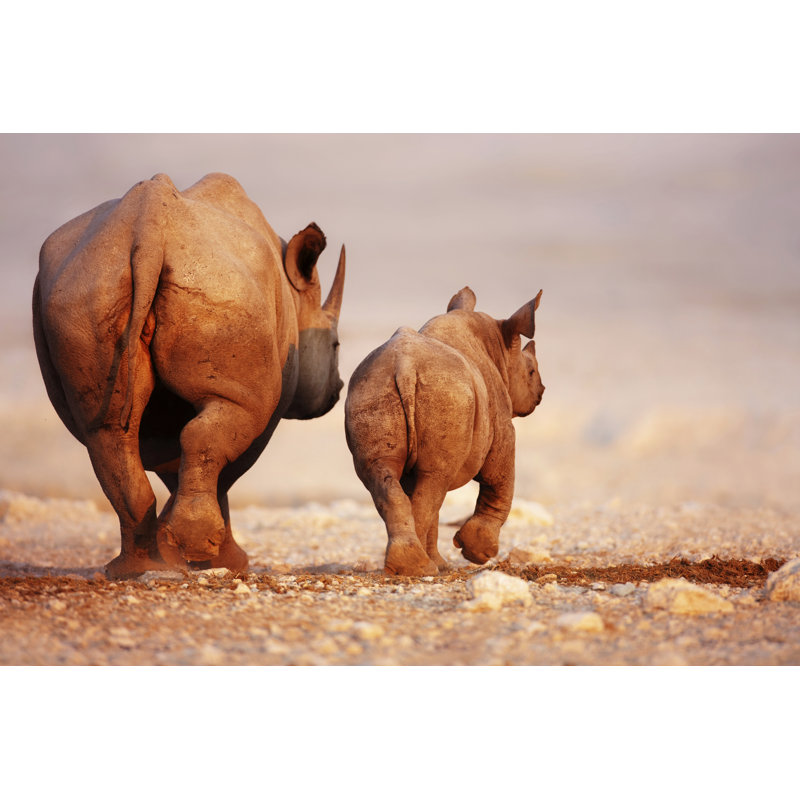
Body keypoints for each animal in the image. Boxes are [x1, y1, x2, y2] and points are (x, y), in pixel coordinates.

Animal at [33, 172, 345, 578]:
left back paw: (133, 568)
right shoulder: (267, 400)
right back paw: (191, 555)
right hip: (219, 286)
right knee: (214, 427)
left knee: (106, 433)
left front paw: (176, 549)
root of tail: (148, 230)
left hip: (84, 287)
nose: (337, 390)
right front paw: (221, 560)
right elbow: (227, 469)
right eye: (335, 345)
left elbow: (174, 463)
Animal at [345, 286, 543, 576]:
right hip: (446, 394)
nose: (541, 391)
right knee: (433, 482)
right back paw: (420, 568)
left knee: (389, 476)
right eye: (531, 371)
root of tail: (404, 366)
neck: (499, 350)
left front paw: (441, 563)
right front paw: (478, 553)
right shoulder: (502, 427)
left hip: (371, 388)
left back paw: (411, 566)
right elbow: (499, 481)